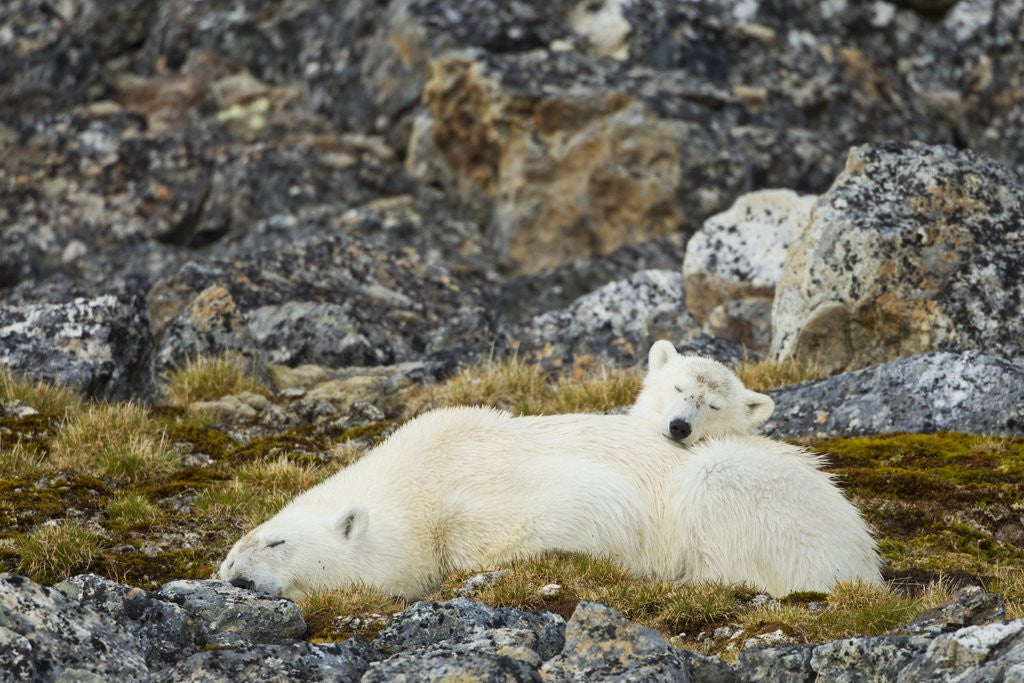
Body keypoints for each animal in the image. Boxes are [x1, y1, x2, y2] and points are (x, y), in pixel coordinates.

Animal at [220, 406, 880, 599]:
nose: (233, 578)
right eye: (232, 548)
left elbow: (592, 505)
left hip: (746, 491)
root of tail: (865, 553)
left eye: (277, 541)